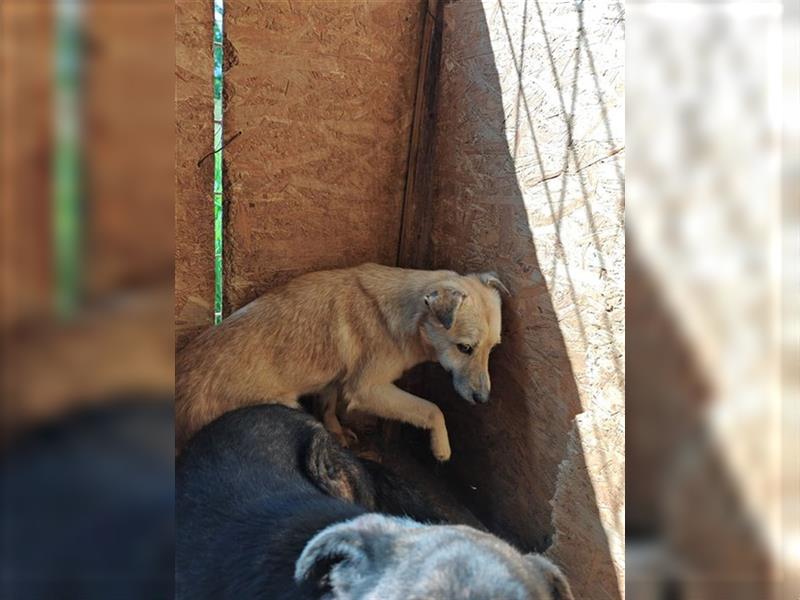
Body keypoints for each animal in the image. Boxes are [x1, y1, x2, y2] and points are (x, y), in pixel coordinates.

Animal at [175, 262, 506, 460]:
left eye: (492, 348)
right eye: (465, 348)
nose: (483, 399)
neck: (409, 316)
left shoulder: (335, 377)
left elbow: (328, 404)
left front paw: (335, 431)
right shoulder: (368, 389)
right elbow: (431, 409)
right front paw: (442, 447)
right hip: (286, 406)